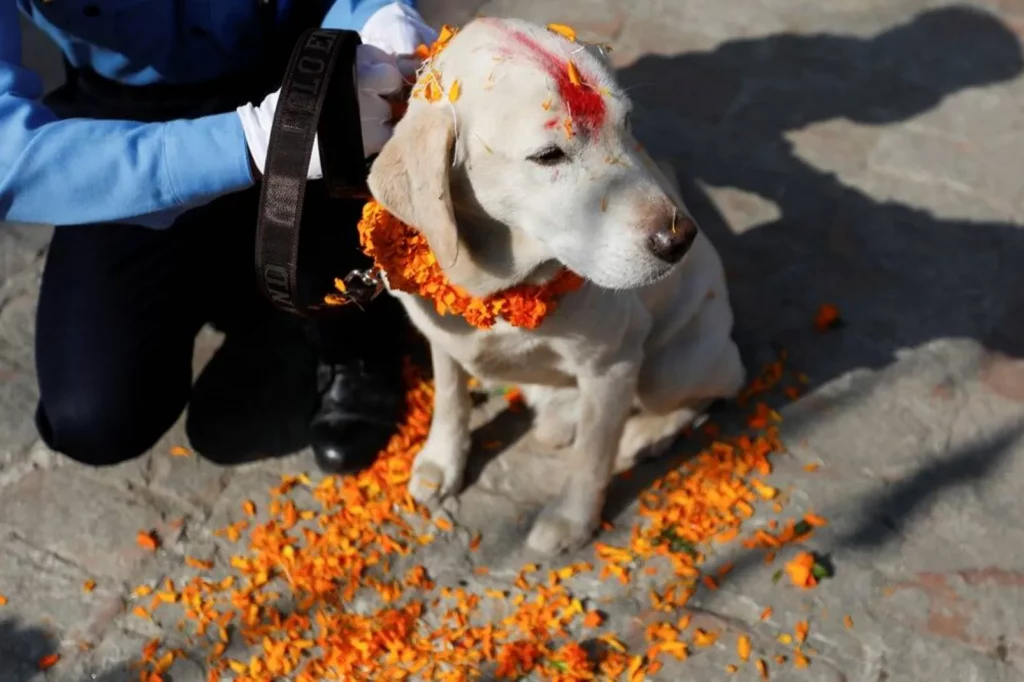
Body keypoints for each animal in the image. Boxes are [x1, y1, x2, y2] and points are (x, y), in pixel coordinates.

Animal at [368, 18, 745, 557]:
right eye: (548, 156)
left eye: (627, 125)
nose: (679, 239)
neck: (499, 285)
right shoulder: (442, 339)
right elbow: (450, 399)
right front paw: (443, 461)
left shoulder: (614, 367)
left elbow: (593, 456)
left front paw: (572, 520)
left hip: (667, 368)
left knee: (721, 384)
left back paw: (647, 433)